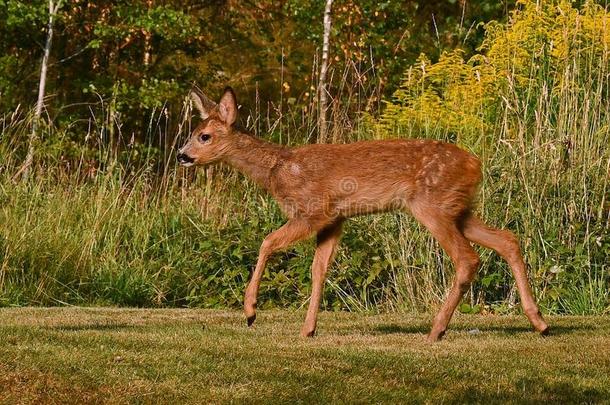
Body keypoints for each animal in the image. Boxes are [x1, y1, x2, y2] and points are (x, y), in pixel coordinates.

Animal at [175, 87, 548, 340]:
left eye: (204, 136)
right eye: (192, 134)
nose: (182, 155)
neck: (277, 170)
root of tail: (476, 164)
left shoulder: (314, 210)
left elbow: (267, 242)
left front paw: (251, 311)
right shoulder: (334, 220)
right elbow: (318, 270)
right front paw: (308, 330)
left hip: (431, 205)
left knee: (467, 258)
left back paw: (436, 330)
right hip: (459, 209)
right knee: (507, 239)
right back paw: (539, 322)